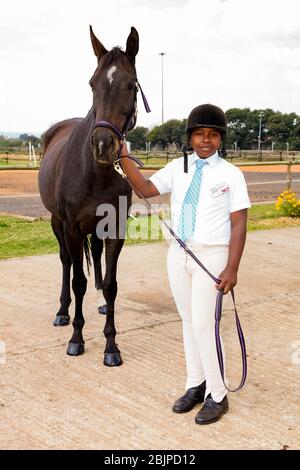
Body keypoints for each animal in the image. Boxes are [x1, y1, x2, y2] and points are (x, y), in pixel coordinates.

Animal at [38, 25, 144, 368]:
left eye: (130, 84)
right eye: (92, 83)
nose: (102, 145)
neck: (95, 172)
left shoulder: (114, 228)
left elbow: (110, 284)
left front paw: (111, 346)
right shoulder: (71, 227)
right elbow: (78, 280)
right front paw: (76, 338)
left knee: (94, 256)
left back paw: (97, 303)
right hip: (57, 223)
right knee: (66, 262)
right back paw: (62, 312)